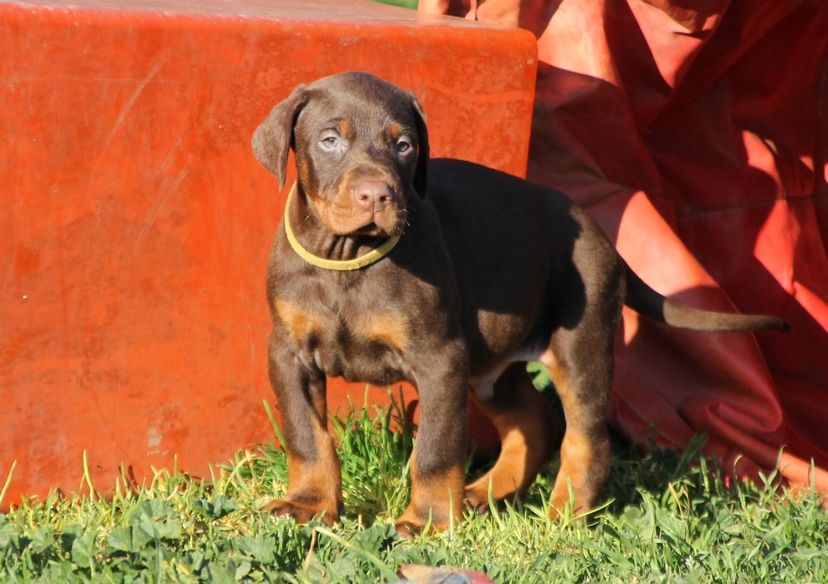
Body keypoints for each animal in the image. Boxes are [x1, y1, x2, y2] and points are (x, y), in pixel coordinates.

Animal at [251, 71, 787, 534]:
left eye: (404, 146)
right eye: (329, 140)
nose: (377, 195)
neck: (347, 260)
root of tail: (603, 237)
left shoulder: (439, 358)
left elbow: (435, 448)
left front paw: (427, 520)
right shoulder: (288, 354)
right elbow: (306, 436)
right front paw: (309, 505)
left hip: (579, 344)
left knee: (586, 437)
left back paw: (564, 515)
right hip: (491, 363)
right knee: (533, 422)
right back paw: (482, 493)